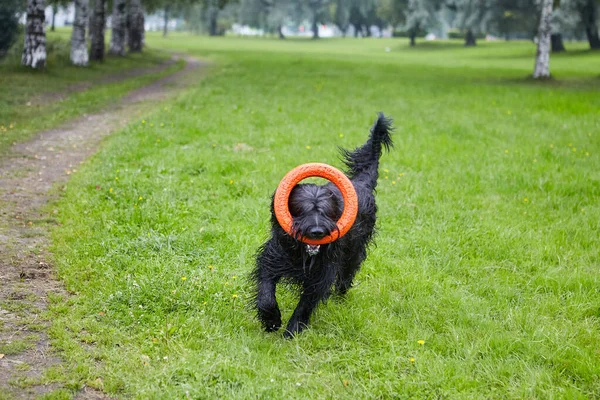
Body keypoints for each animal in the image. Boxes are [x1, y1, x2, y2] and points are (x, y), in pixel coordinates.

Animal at [252, 112, 394, 338]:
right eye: (302, 210)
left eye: (327, 212)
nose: (317, 232)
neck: (303, 255)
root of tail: (361, 183)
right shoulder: (271, 258)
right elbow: (266, 291)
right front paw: (271, 320)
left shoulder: (322, 274)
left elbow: (306, 304)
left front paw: (291, 332)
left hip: (354, 253)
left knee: (345, 276)